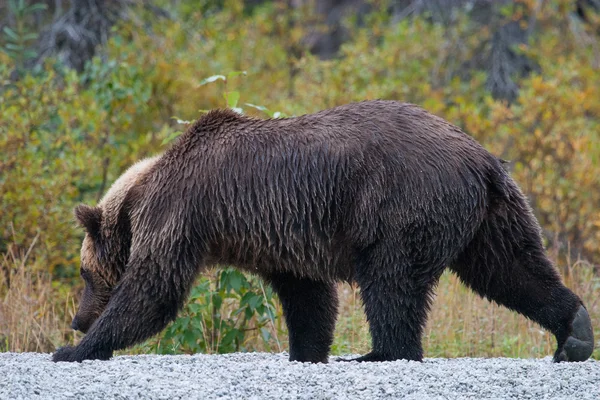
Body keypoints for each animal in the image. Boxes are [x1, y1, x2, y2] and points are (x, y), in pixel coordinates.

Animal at [52, 99, 596, 362]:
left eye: (83, 273)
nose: (77, 320)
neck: (143, 191)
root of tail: (480, 158)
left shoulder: (182, 213)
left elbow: (153, 288)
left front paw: (77, 349)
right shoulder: (276, 236)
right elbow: (308, 297)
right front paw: (307, 352)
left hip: (402, 205)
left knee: (391, 282)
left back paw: (380, 353)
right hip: (491, 214)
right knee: (511, 268)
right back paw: (574, 332)